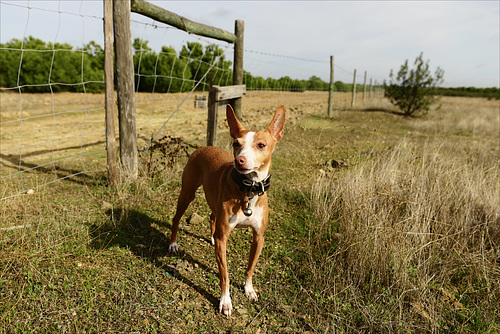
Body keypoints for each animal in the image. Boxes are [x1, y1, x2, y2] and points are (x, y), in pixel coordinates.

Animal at [169, 105, 284, 316]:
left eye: (261, 145)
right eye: (236, 143)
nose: (240, 160)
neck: (248, 190)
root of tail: (205, 146)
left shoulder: (259, 237)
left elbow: (250, 268)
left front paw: (249, 289)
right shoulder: (225, 239)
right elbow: (224, 275)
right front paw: (225, 301)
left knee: (212, 216)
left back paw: (212, 237)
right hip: (187, 194)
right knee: (176, 218)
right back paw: (173, 244)